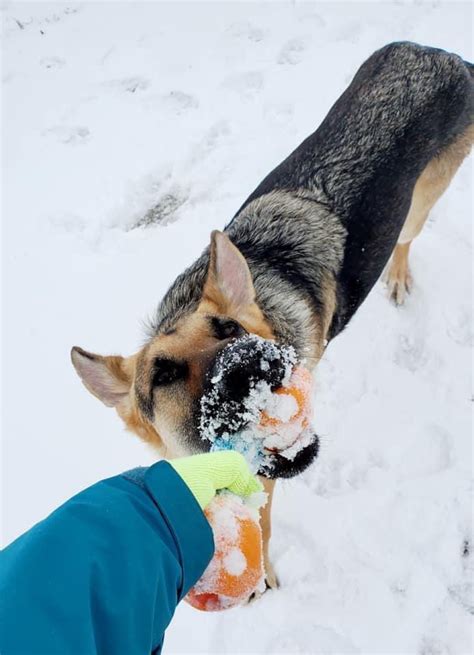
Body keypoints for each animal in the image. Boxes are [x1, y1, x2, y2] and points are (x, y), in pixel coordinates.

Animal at [72, 43, 472, 592]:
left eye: (229, 329)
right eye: (164, 375)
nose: (247, 364)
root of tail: (442, 53)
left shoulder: (263, 476)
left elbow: (260, 520)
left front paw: (261, 576)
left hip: (417, 206)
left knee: (406, 240)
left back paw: (397, 275)